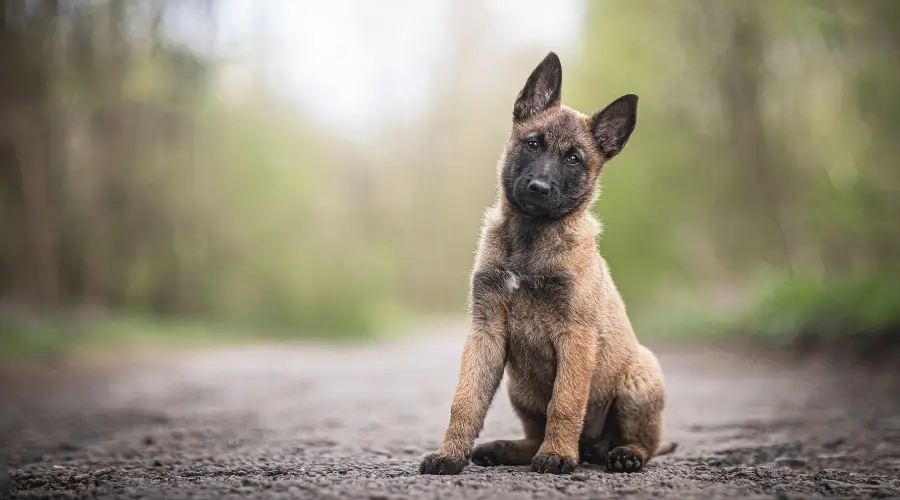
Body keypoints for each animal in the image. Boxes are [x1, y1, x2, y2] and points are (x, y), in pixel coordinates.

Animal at [418, 52, 672, 474]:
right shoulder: (486, 330)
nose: (539, 188)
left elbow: (566, 403)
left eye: (573, 159)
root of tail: (593, 447)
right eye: (532, 144)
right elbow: (466, 401)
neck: (530, 237)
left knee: (646, 442)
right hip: (518, 387)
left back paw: (622, 454)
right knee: (533, 433)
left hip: (639, 376)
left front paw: (557, 455)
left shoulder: (576, 334)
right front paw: (450, 455)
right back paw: (506, 450)